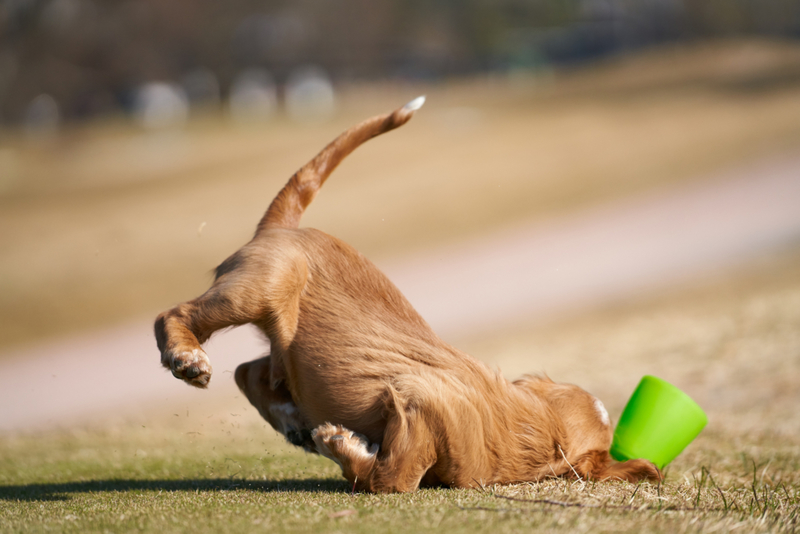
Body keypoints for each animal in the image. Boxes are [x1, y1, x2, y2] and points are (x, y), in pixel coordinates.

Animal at [155, 97, 664, 494]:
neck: (538, 429)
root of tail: (285, 228)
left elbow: (391, 472)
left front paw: (337, 443)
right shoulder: (418, 402)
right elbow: (395, 476)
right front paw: (340, 443)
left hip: (283, 343)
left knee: (249, 371)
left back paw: (291, 420)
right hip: (256, 289)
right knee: (173, 316)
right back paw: (188, 360)